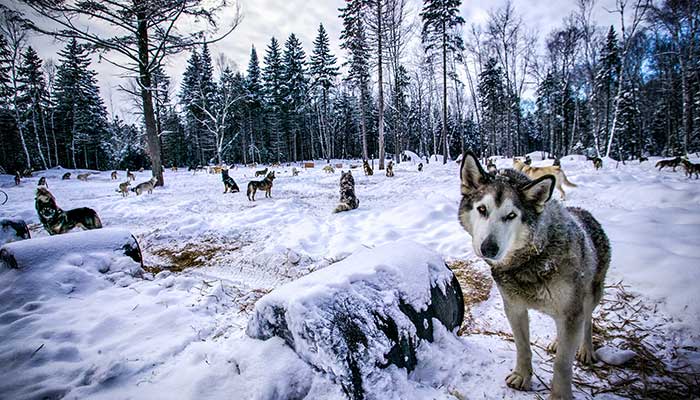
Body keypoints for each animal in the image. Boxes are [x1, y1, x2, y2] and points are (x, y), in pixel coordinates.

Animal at [456, 151, 608, 400]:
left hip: (590, 297)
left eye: (511, 215)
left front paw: (560, 396)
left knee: (587, 321)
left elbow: (562, 364)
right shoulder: (514, 307)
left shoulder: (571, 313)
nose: (488, 248)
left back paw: (585, 349)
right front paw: (522, 376)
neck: (532, 260)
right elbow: (523, 347)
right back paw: (558, 342)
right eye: (482, 209)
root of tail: (583, 211)